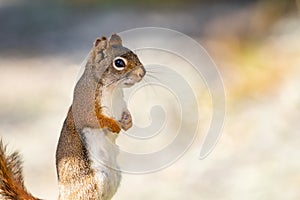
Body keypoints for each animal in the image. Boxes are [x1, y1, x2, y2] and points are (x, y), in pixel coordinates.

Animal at [0, 33, 145, 199]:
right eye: (119, 63)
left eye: (136, 55)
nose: (142, 73)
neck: (113, 89)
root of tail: (63, 196)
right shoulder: (85, 106)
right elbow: (94, 119)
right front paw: (114, 125)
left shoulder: (121, 106)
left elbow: (125, 115)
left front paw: (128, 122)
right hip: (92, 186)